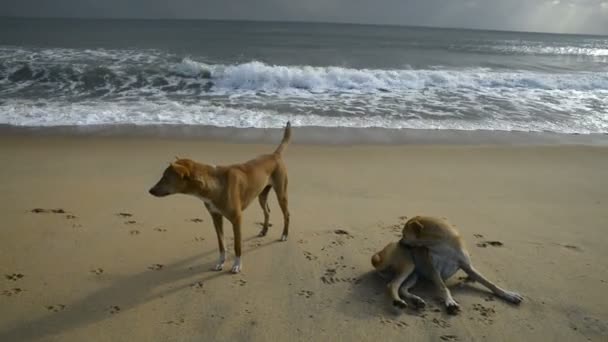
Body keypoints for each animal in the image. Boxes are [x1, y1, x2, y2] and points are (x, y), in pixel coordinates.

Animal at [147, 121, 290, 274]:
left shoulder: (237, 219)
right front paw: (220, 262)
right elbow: (221, 244)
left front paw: (237, 265)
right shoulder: (215, 217)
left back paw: (284, 235)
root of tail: (274, 155)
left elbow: (237, 245)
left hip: (281, 193)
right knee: (267, 211)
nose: (150, 190)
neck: (214, 184)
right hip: (261, 195)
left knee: (286, 214)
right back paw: (264, 230)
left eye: (165, 178)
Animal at [370, 215, 524, 314]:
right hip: (409, 265)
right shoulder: (434, 271)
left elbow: (490, 284)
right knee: (392, 285)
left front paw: (509, 295)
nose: (400, 243)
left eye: (404, 234)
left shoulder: (468, 267)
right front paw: (450, 302)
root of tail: (380, 255)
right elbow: (444, 287)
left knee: (402, 288)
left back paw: (416, 300)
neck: (442, 245)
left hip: (414, 274)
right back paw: (398, 302)